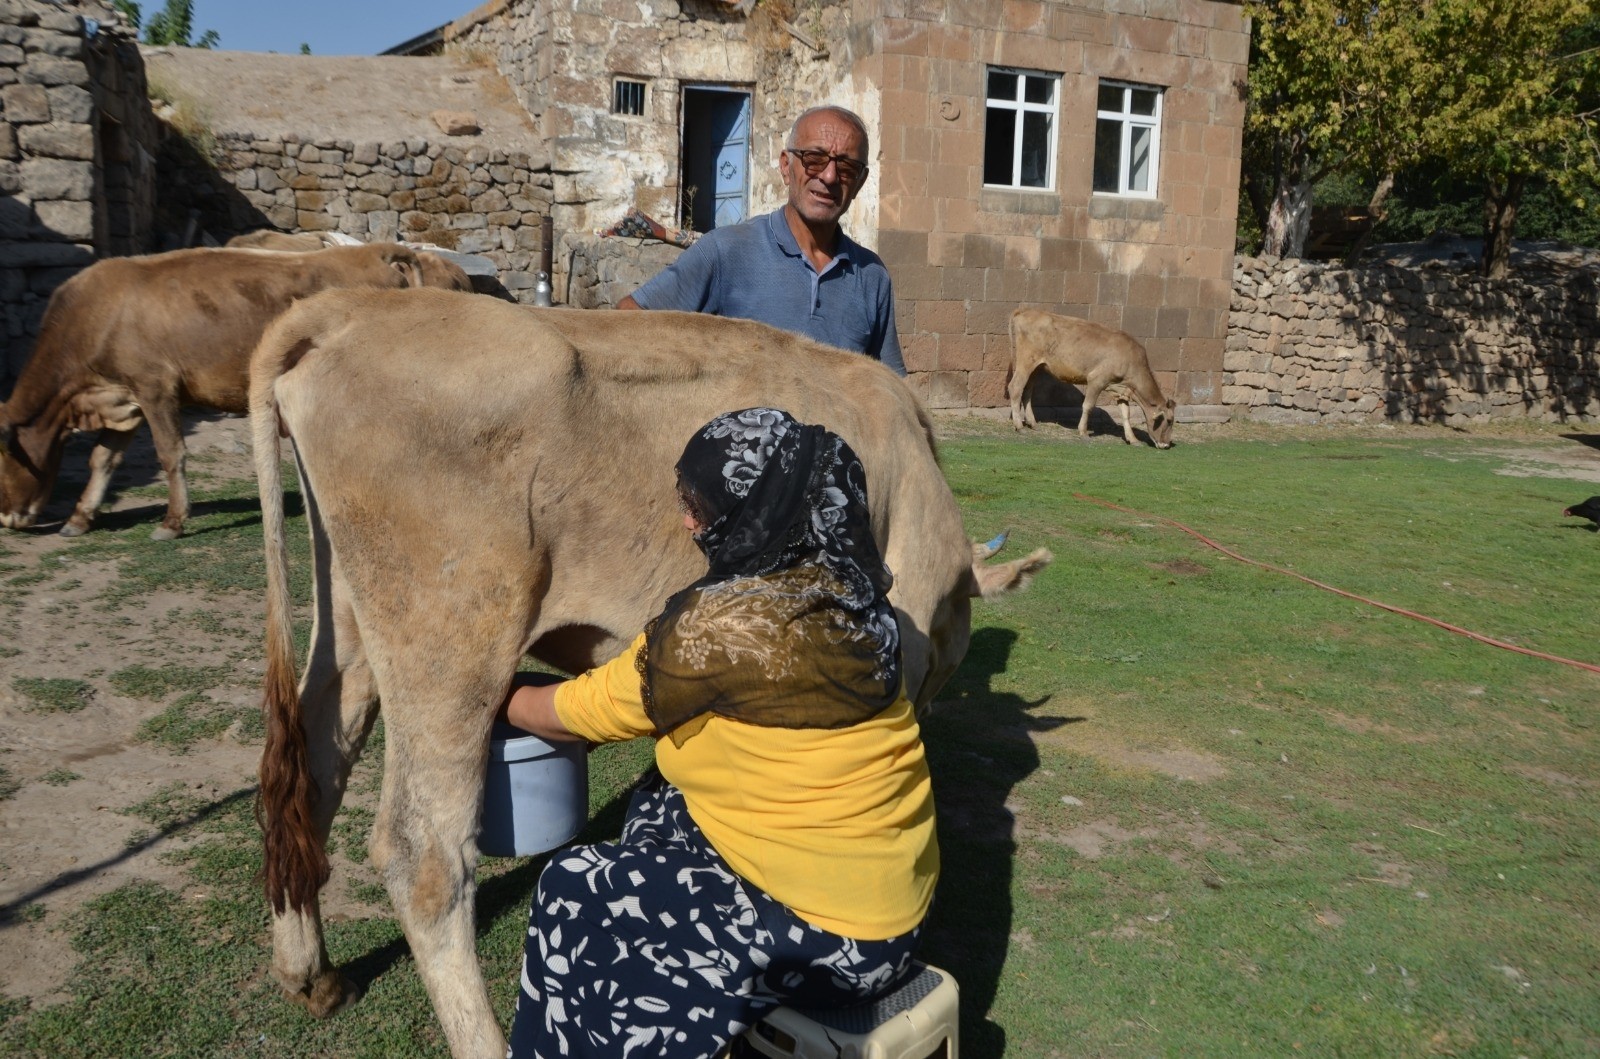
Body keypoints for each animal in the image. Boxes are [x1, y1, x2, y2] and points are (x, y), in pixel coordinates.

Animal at [0, 241, 470, 540]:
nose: (7, 518)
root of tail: (382, 250)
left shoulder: (155, 387)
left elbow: (170, 454)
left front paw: (172, 522)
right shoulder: (123, 397)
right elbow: (102, 459)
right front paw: (80, 517)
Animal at [246, 286, 1049, 1055]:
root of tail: (354, 305)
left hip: (353, 618)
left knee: (304, 777)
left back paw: (309, 974)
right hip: (451, 628)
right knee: (423, 854)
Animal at [1011, 307, 1177, 447]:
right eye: (1169, 421)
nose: (1166, 445)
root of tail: (1024, 311)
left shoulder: (1121, 389)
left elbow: (1126, 414)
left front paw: (1133, 439)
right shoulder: (1097, 379)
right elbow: (1088, 405)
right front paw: (1083, 432)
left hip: (1037, 367)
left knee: (1027, 391)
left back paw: (1032, 423)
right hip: (1025, 361)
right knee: (1015, 387)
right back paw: (1019, 425)